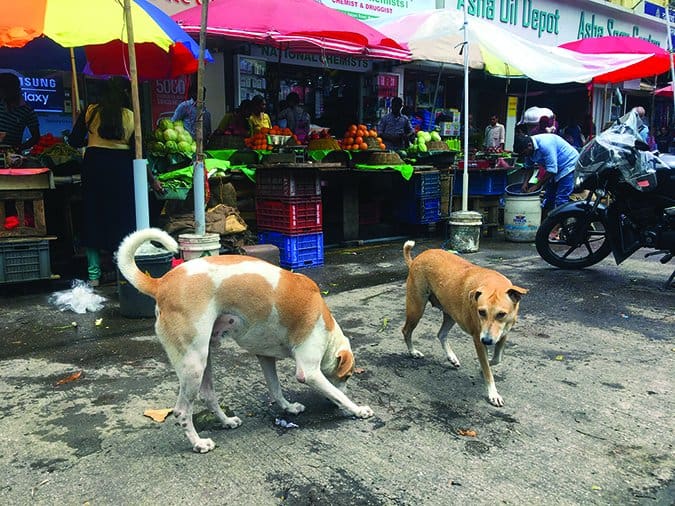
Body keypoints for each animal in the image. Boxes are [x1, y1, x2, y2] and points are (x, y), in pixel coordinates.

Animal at [119, 227, 378, 452]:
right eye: (347, 376)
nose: (333, 406)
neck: (327, 327)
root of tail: (161, 283)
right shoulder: (309, 372)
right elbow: (335, 392)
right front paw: (357, 409)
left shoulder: (265, 358)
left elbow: (275, 389)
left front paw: (289, 407)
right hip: (193, 364)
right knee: (182, 411)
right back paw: (198, 443)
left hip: (203, 358)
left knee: (208, 395)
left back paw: (226, 421)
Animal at [402, 241, 528, 408]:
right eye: (481, 312)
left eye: (501, 314)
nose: (487, 340)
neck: (492, 282)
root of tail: (416, 259)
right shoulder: (478, 340)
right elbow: (488, 370)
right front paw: (493, 393)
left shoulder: (503, 334)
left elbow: (497, 359)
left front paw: (485, 366)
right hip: (416, 308)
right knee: (406, 331)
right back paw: (413, 352)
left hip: (451, 314)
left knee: (441, 334)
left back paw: (451, 357)